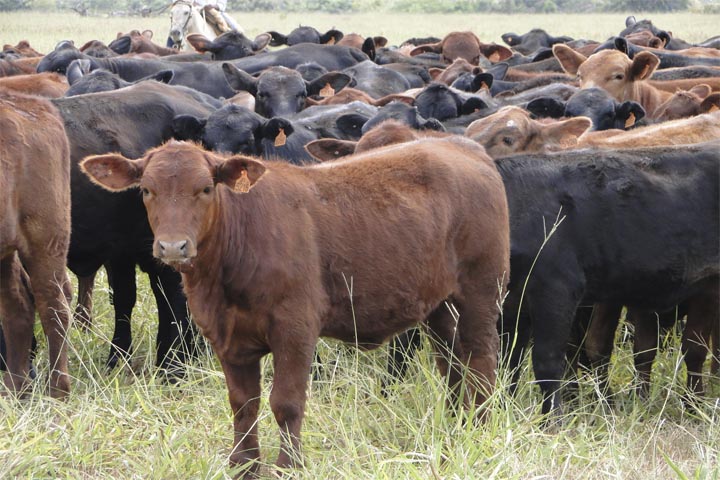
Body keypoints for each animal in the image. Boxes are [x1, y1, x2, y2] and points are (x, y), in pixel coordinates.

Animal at [83, 139, 512, 476]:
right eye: (146, 190)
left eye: (205, 188)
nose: (173, 246)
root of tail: (462, 146)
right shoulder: (227, 337)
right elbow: (243, 403)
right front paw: (243, 466)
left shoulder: (295, 328)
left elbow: (286, 402)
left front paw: (288, 466)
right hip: (437, 303)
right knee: (452, 360)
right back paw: (456, 421)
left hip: (481, 289)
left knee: (481, 359)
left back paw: (480, 427)